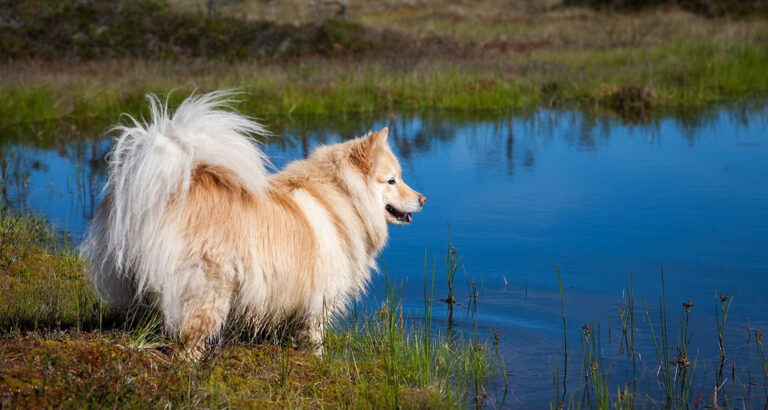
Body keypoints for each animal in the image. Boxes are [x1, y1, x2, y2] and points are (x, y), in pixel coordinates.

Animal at [84, 91, 426, 358]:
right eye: (392, 181)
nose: (423, 199)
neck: (342, 195)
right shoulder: (320, 297)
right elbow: (315, 339)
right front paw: (319, 363)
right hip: (208, 289)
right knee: (189, 342)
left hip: (138, 284)